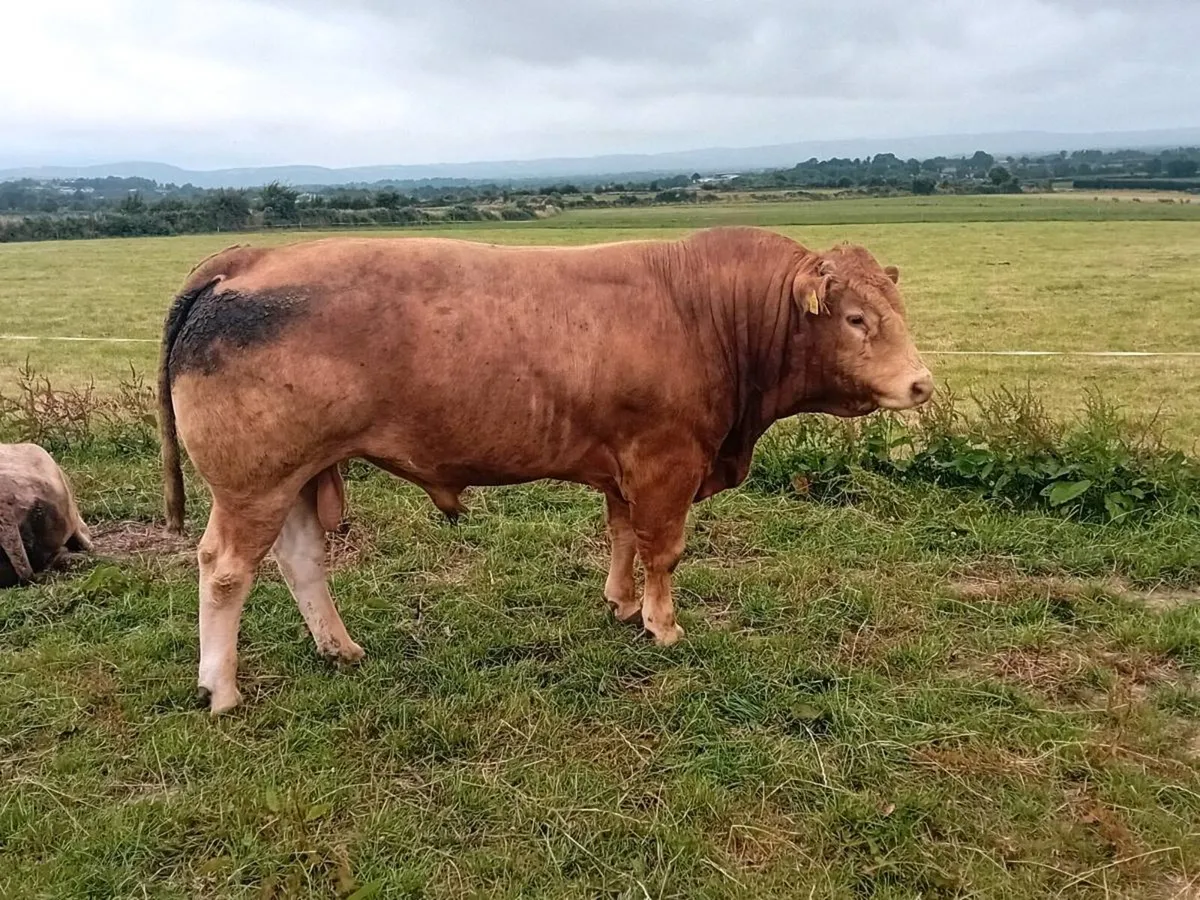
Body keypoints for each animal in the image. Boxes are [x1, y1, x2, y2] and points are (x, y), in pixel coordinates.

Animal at [157, 226, 933, 714]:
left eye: (896, 308)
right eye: (856, 319)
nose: (922, 384)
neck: (708, 311)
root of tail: (249, 258)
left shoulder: (625, 464)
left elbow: (621, 535)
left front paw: (621, 604)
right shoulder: (667, 461)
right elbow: (662, 549)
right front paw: (663, 624)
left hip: (293, 475)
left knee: (299, 561)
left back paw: (338, 647)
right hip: (253, 481)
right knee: (224, 570)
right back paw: (219, 687)